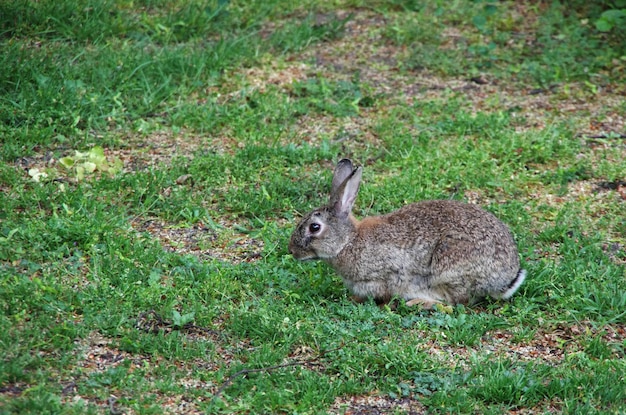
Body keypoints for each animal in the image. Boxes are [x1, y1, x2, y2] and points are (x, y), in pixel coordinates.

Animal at [286, 159, 520, 308]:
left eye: (314, 227)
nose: (292, 251)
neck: (348, 241)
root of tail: (506, 279)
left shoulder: (385, 275)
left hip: (450, 269)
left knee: (457, 303)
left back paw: (419, 303)